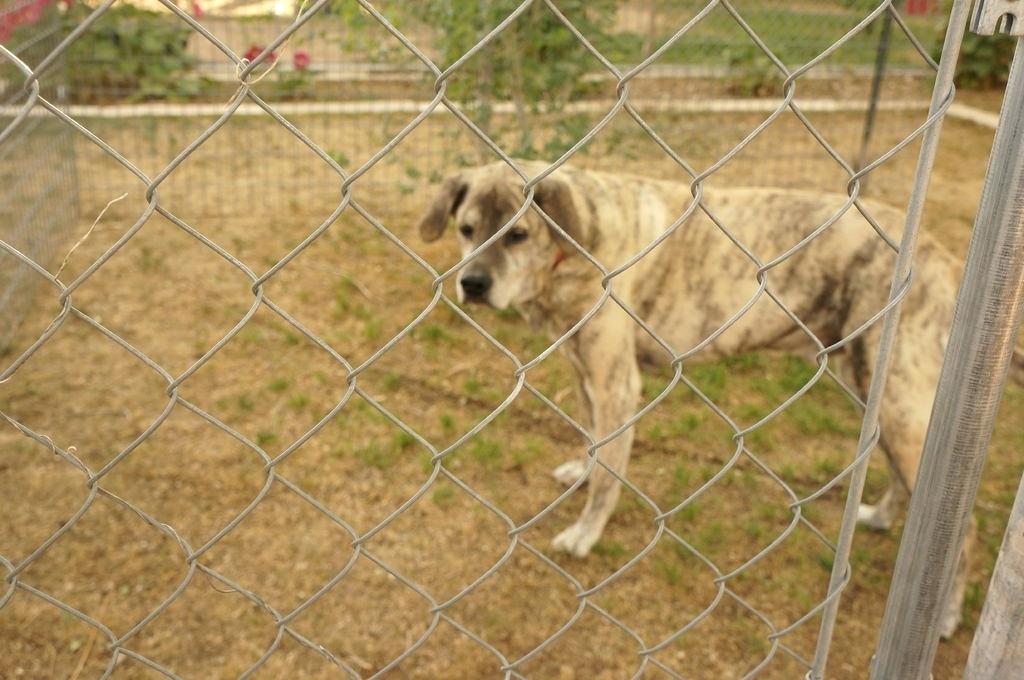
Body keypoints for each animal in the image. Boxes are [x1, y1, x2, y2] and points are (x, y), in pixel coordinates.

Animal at [415, 159, 1024, 639]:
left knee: (964, 530)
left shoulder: (616, 381)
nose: (472, 284)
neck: (575, 245)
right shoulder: (586, 371)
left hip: (894, 392)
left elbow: (610, 471)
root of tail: (944, 256)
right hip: (871, 383)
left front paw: (586, 534)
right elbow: (593, 442)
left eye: (517, 235)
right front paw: (580, 471)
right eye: (467, 229)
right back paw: (881, 515)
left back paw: (946, 616)